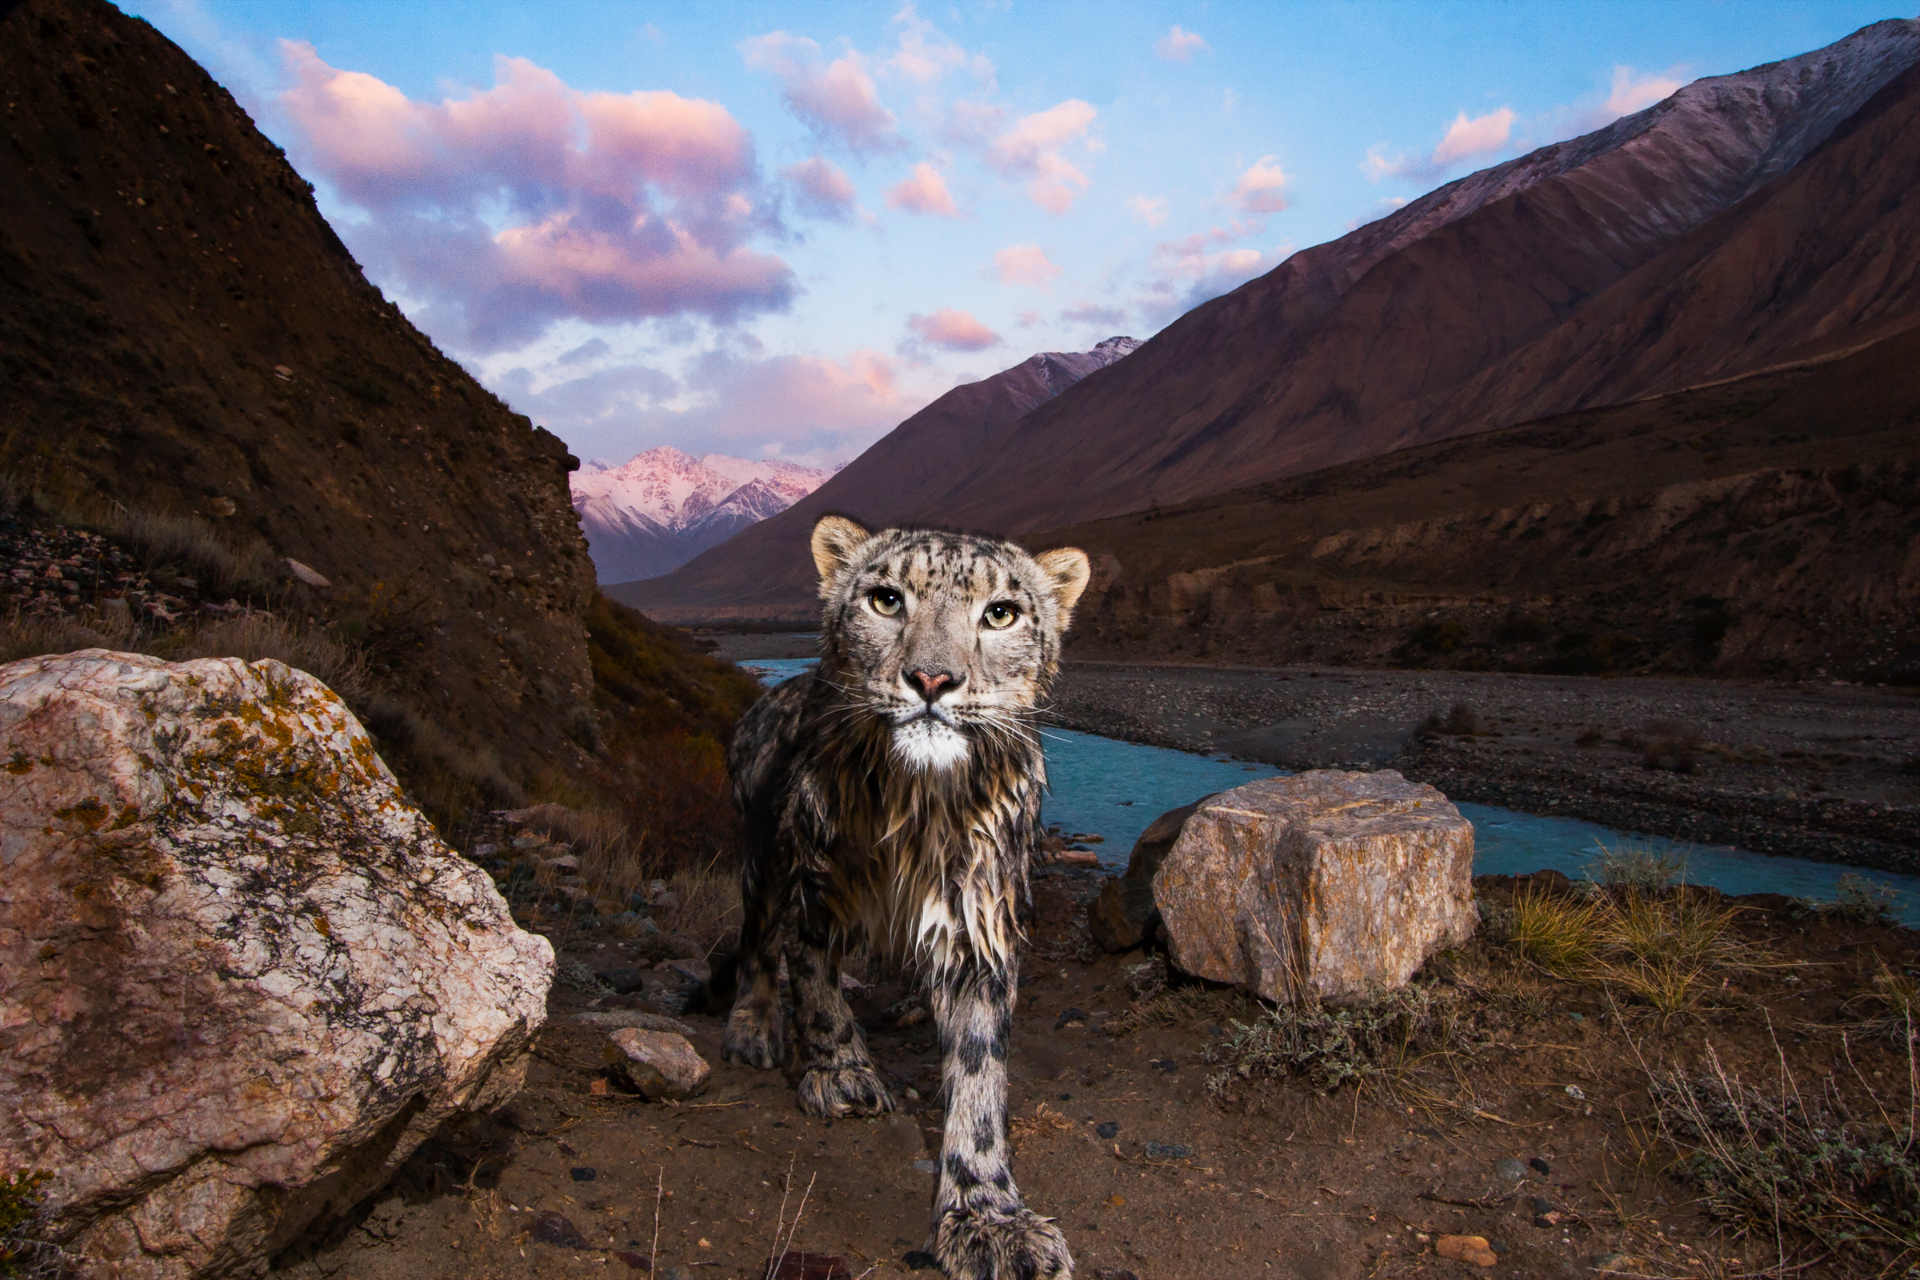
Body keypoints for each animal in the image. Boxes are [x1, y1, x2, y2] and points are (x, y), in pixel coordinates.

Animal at [717, 514, 1089, 1280]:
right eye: (886, 599)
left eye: (1001, 613)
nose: (932, 678)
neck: (917, 810)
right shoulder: (813, 890)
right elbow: (818, 989)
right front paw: (842, 1074)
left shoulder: (978, 923)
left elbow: (979, 1073)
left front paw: (987, 1216)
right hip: (763, 857)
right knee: (756, 942)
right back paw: (754, 1027)